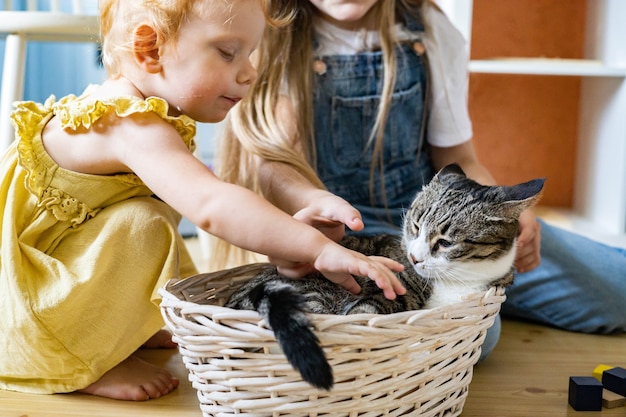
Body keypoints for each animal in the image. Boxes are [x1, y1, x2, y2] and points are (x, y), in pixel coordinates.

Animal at [224, 163, 540, 390]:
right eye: (415, 226)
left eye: (446, 242)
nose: (414, 258)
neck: (454, 282)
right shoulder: (380, 296)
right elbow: (366, 317)